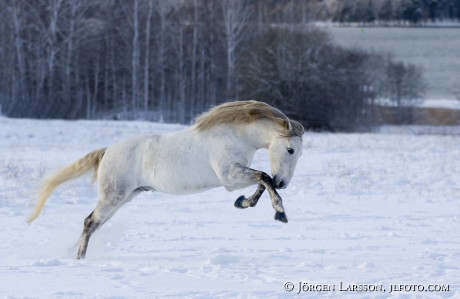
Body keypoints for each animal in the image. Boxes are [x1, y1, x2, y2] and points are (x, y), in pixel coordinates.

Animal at [27, 99, 304, 258]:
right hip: (112, 197)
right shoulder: (229, 176)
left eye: (300, 153)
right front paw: (280, 212)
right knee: (89, 223)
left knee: (93, 224)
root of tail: (107, 151)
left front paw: (244, 203)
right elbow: (264, 177)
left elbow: (262, 181)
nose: (284, 182)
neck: (234, 134)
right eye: (291, 150)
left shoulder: (234, 177)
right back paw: (80, 259)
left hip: (124, 197)